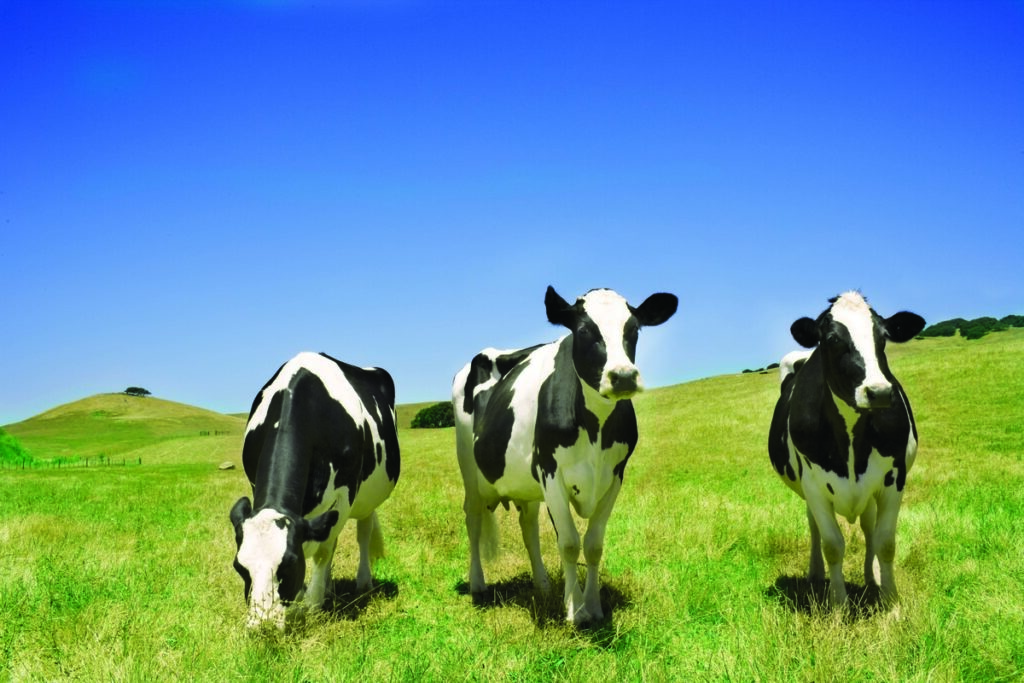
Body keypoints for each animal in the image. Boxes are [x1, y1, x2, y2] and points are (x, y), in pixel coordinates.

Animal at [229, 351, 400, 630]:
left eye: (289, 564)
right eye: (239, 567)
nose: (263, 626)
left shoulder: (344, 495)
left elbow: (322, 552)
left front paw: (312, 605)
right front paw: (304, 596)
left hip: (367, 498)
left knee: (362, 534)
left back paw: (362, 582)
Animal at [453, 286, 678, 626]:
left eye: (634, 329)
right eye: (584, 331)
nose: (623, 376)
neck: (596, 428)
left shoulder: (615, 476)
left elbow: (593, 544)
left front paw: (594, 606)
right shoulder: (550, 472)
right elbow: (570, 543)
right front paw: (575, 610)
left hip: (525, 484)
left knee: (528, 526)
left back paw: (543, 583)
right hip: (470, 469)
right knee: (474, 518)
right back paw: (477, 584)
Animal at [768, 291, 925, 608]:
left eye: (883, 335)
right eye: (831, 338)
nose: (879, 392)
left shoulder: (893, 479)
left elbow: (885, 542)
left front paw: (891, 603)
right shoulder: (814, 485)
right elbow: (833, 545)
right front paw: (838, 605)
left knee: (867, 526)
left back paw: (871, 577)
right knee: (814, 527)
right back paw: (816, 574)